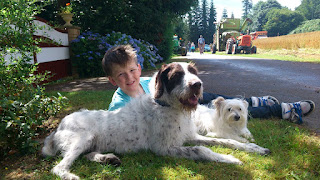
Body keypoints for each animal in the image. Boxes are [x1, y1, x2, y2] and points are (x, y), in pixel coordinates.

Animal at [41, 62, 268, 180]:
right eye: (177, 75)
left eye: (193, 72)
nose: (197, 84)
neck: (169, 106)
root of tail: (56, 128)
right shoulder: (164, 148)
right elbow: (202, 150)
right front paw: (230, 159)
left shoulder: (190, 136)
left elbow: (224, 141)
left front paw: (253, 148)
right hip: (82, 138)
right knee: (58, 167)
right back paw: (72, 174)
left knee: (88, 155)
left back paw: (108, 159)